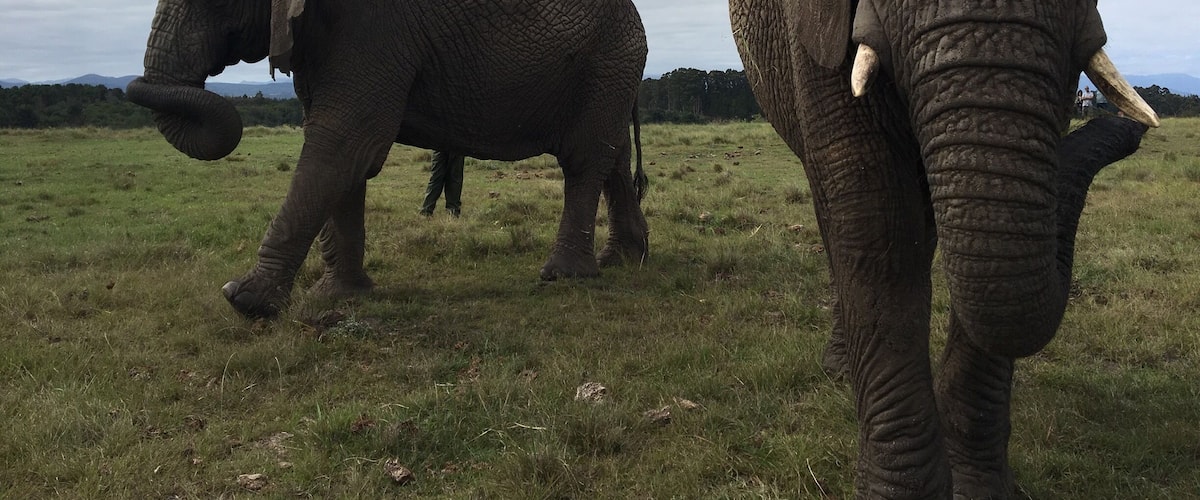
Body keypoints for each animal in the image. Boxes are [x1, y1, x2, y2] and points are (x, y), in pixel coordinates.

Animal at [126, 0, 651, 318]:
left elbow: (344, 142)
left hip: (608, 58)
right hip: (611, 69)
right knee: (613, 156)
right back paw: (624, 259)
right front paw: (339, 296)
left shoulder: (373, 27)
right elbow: (345, 156)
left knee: (584, 159)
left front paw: (244, 301)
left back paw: (563, 276)